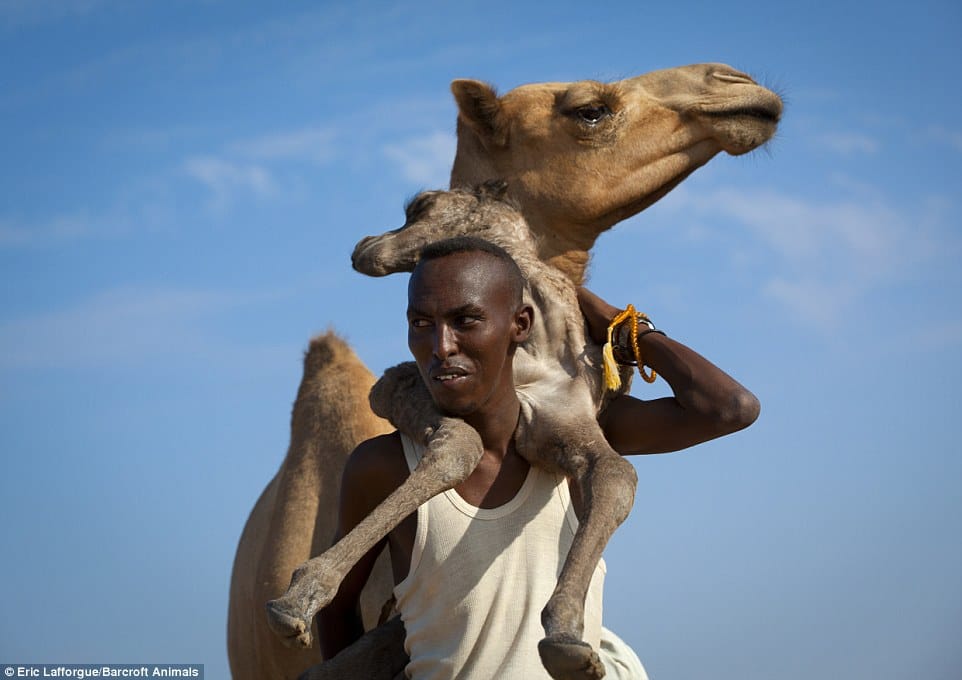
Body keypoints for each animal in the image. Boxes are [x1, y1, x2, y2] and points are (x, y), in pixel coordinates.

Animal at [227, 63, 782, 680]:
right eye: (591, 109)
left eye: (418, 207)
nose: (366, 247)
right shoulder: (396, 385)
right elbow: (459, 446)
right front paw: (299, 596)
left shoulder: (570, 420)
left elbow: (617, 473)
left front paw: (564, 634)